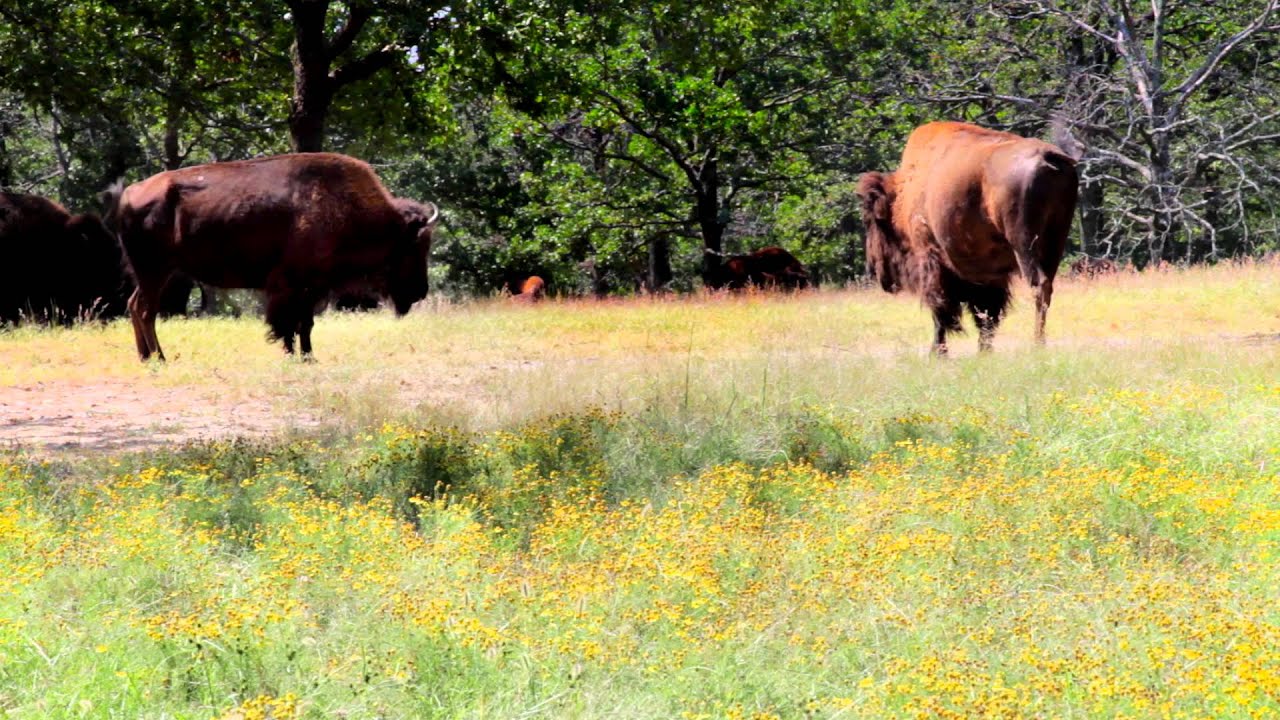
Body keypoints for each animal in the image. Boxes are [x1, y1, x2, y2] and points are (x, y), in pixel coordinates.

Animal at [103, 153, 439, 360]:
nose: (420, 291)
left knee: (135, 306)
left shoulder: (311, 288)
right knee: (146, 310)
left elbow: (305, 323)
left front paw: (308, 357)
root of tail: (129, 194)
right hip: (154, 270)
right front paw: (293, 354)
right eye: (416, 246)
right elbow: (289, 322)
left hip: (153, 273)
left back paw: (146, 357)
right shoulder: (292, 285)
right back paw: (159, 358)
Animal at [856, 121, 1078, 354]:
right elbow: (987, 313)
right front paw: (984, 351)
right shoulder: (989, 274)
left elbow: (941, 310)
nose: (873, 269)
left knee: (1038, 285)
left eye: (870, 221)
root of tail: (1049, 156)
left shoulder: (932, 258)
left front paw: (937, 352)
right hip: (1055, 241)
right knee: (1047, 285)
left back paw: (1037, 344)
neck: (905, 190)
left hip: (1024, 243)